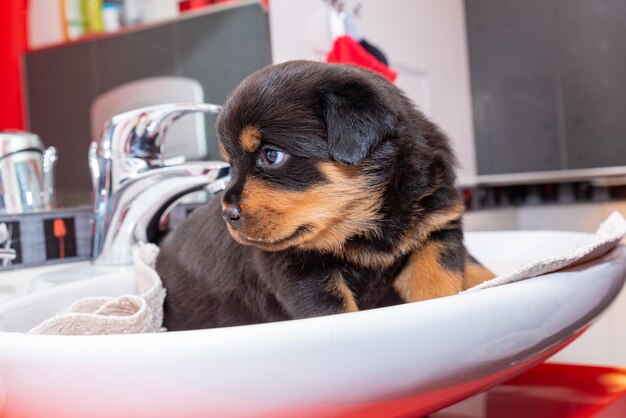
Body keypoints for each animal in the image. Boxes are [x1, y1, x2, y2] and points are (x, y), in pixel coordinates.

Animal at [156, 59, 492, 330]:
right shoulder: (302, 272)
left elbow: (437, 282)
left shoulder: (437, 229)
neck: (366, 227)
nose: (229, 214)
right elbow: (336, 310)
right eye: (230, 164)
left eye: (271, 155)